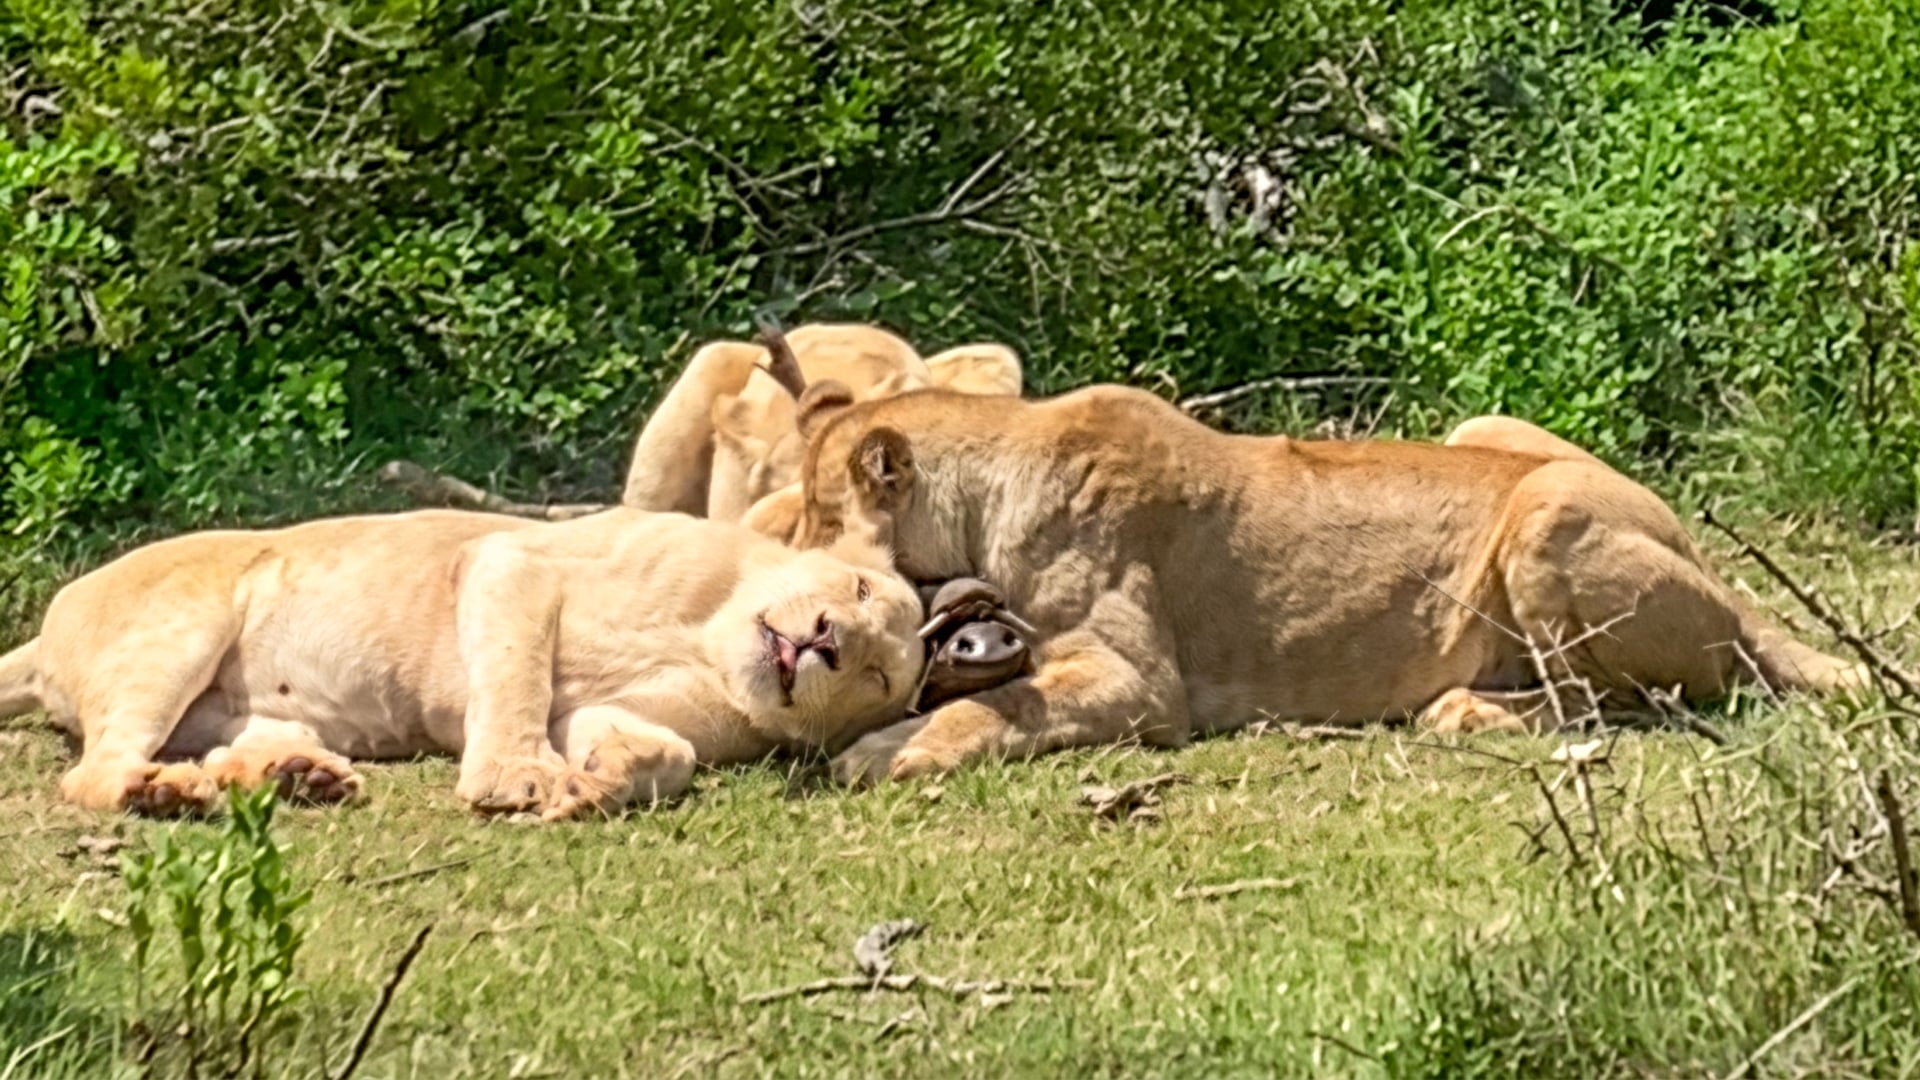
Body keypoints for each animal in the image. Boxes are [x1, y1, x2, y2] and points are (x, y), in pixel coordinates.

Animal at [0, 508, 933, 819]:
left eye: (877, 678)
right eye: (855, 586)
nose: (826, 639)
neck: (707, 639)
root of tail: (44, 628)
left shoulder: (617, 709)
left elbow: (668, 753)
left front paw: (600, 782)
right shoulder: (511, 562)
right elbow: (518, 679)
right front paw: (518, 779)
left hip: (254, 709)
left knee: (230, 748)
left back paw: (296, 778)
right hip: (183, 624)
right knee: (92, 773)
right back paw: (163, 793)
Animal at [755, 379, 1866, 783]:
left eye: (813, 515)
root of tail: (1730, 587)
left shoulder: (1139, 685)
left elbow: (988, 710)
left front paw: (881, 749)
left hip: (1550, 514)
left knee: (1620, 703)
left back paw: (1464, 707)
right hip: (1490, 435)